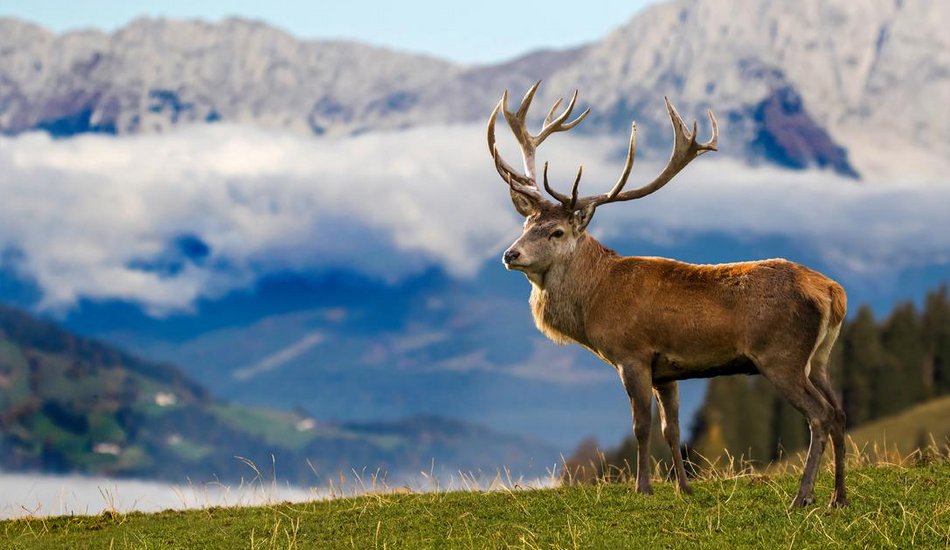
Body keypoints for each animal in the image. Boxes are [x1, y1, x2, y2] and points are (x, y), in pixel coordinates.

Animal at [487, 82, 848, 508]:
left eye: (557, 232)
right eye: (526, 224)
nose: (511, 254)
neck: (595, 301)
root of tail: (832, 292)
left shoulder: (633, 355)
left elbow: (641, 426)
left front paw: (642, 488)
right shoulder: (667, 370)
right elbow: (670, 428)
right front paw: (684, 487)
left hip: (782, 356)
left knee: (819, 415)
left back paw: (802, 496)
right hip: (820, 358)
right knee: (839, 412)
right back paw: (838, 496)